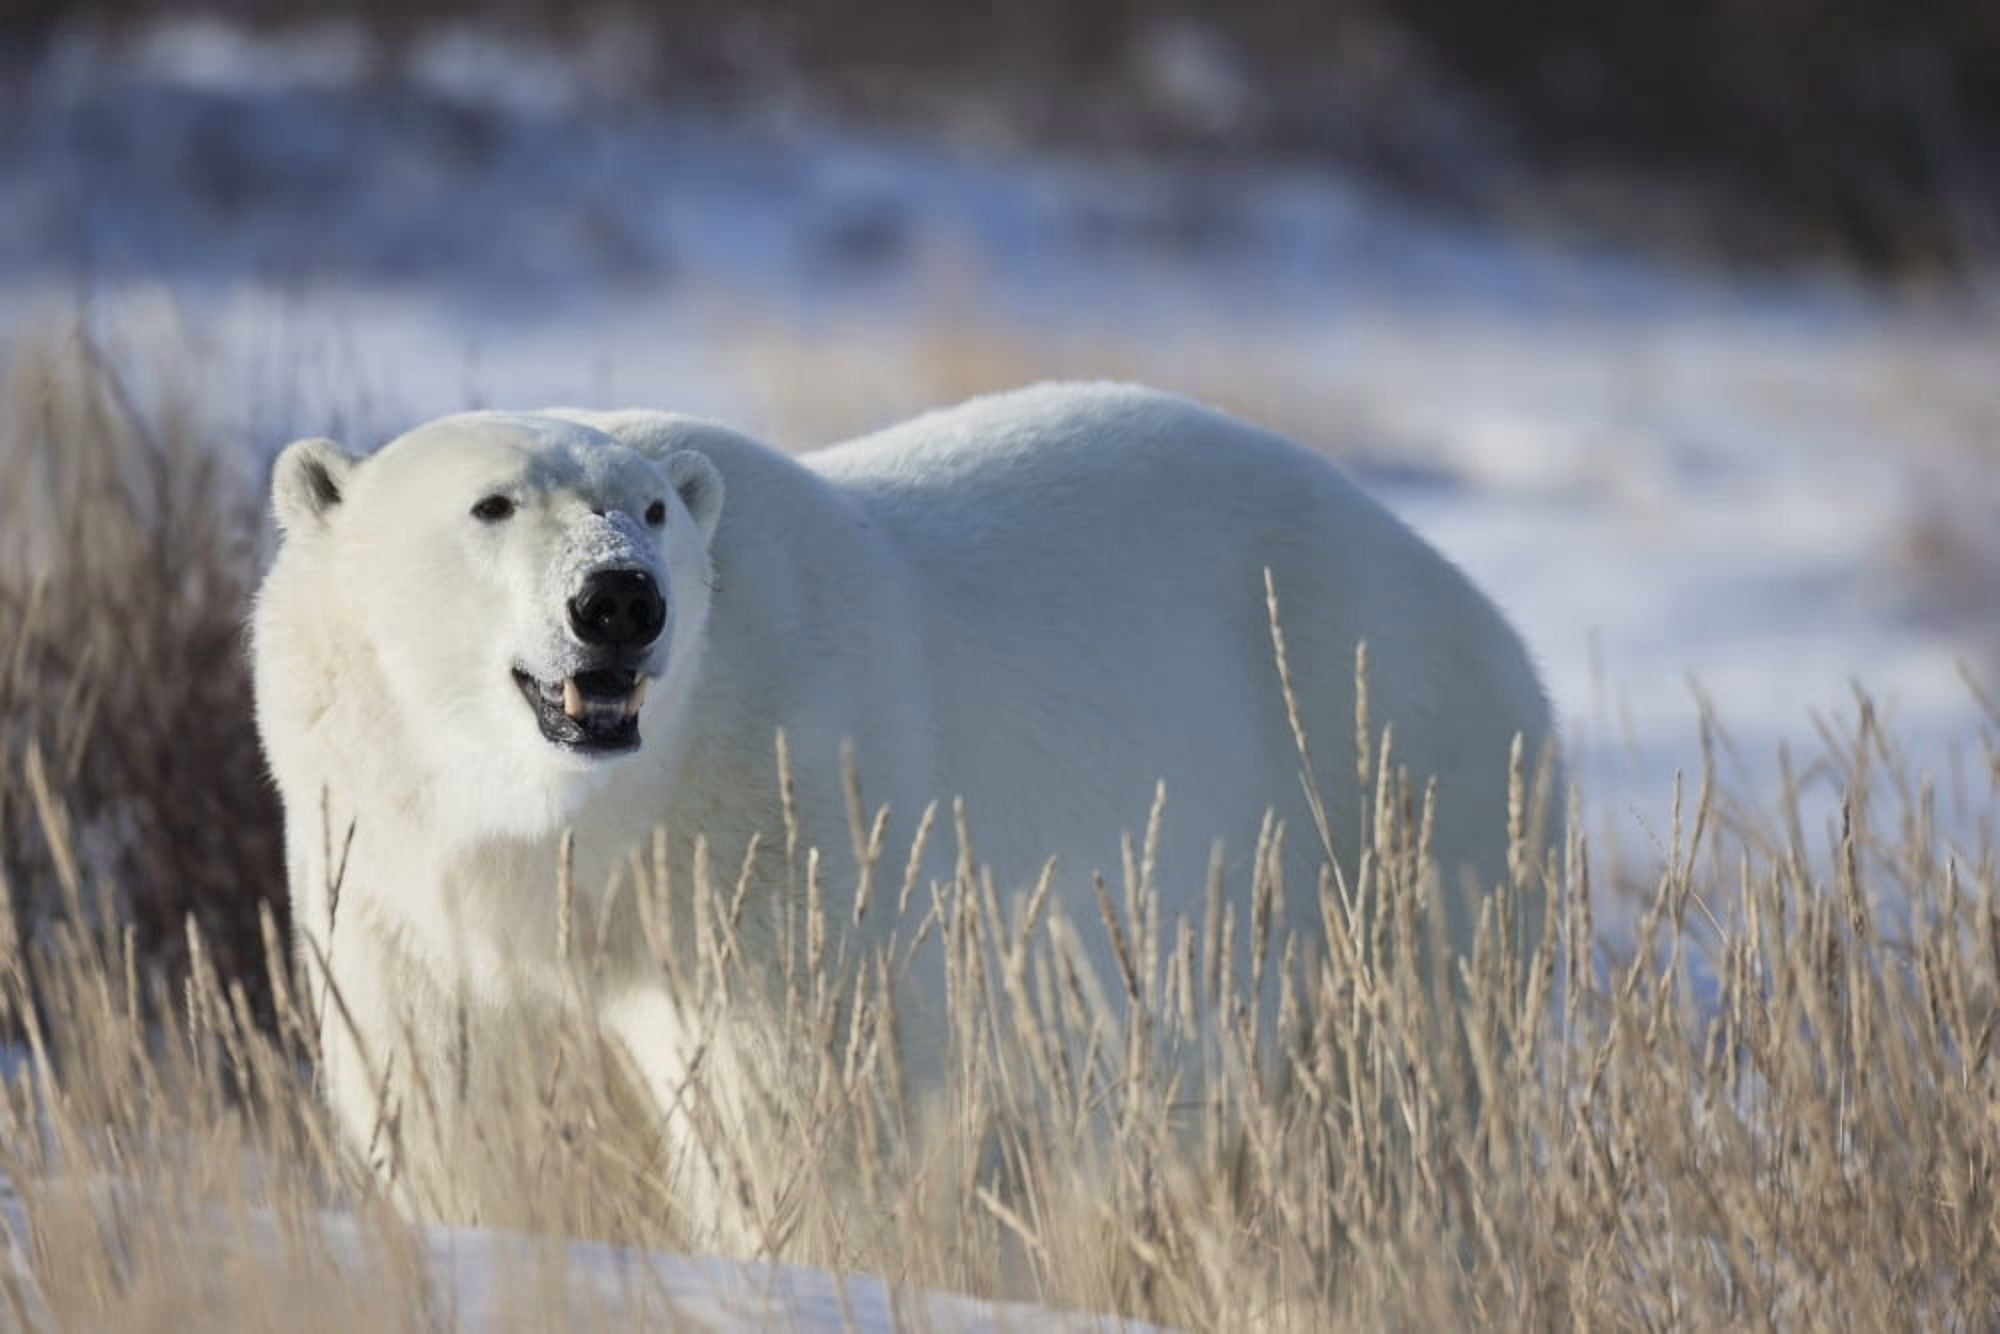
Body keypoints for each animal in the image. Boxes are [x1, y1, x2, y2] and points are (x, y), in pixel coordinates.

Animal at [250, 382, 1558, 1244]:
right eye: (491, 504)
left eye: (652, 509)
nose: (619, 598)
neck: (603, 824)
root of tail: (1469, 597)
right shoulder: (403, 888)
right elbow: (456, 1098)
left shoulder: (785, 812)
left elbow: (810, 1115)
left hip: (1387, 787)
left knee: (1413, 1077)